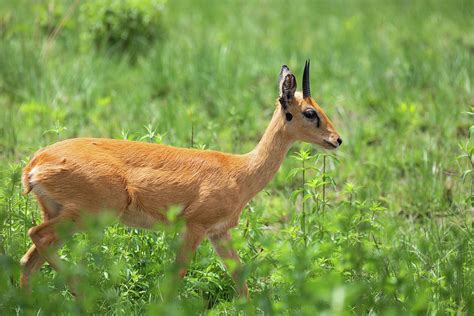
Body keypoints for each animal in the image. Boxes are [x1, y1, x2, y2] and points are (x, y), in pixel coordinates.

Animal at [21, 60, 340, 298]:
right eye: (310, 112)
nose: (337, 139)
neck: (239, 171)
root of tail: (35, 164)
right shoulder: (194, 227)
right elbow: (178, 274)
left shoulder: (218, 232)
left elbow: (239, 275)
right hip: (87, 215)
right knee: (36, 236)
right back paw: (83, 292)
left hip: (60, 213)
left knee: (30, 257)